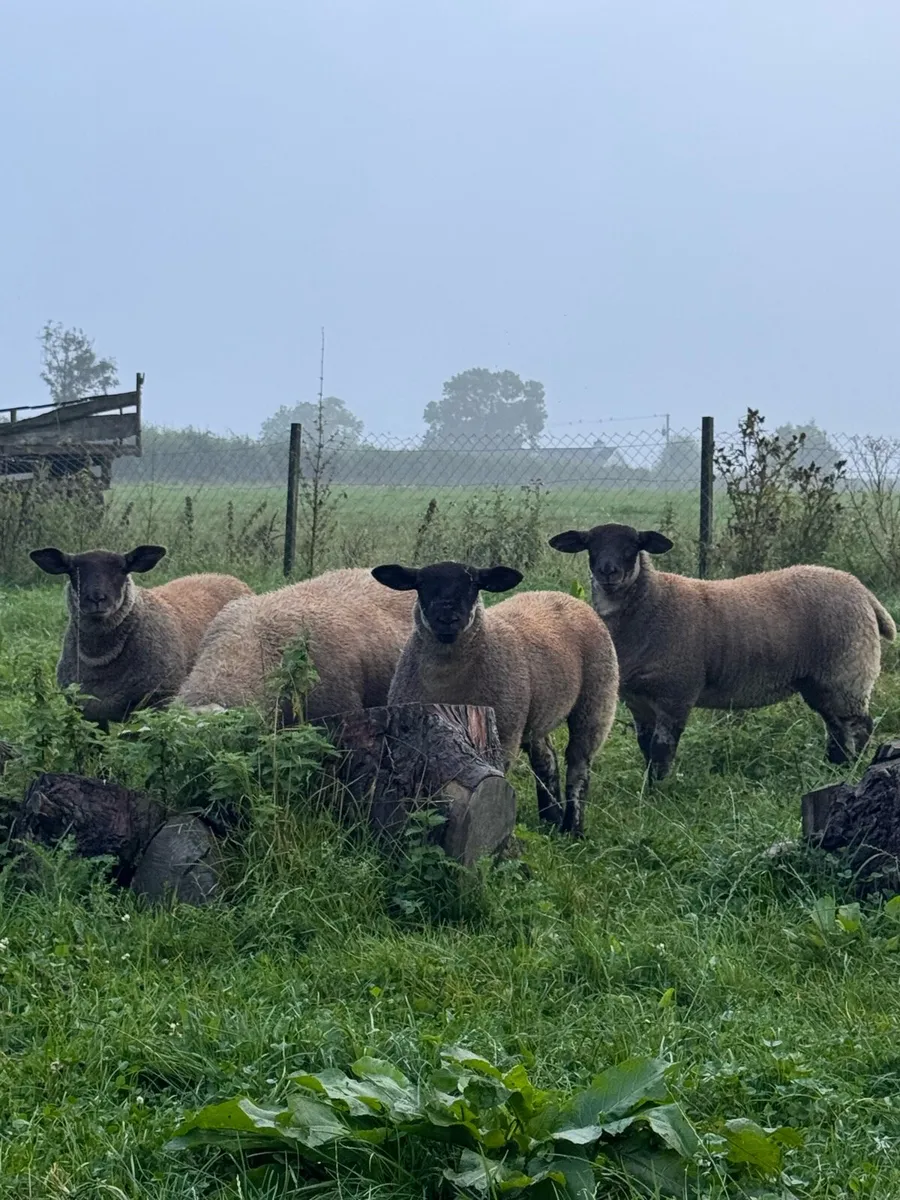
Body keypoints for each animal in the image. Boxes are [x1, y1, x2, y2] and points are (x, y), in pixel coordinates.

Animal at [30, 544, 253, 726]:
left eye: (122, 570)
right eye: (73, 571)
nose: (96, 599)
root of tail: (222, 575)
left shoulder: (155, 702)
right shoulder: (87, 712)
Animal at [371, 560, 620, 837]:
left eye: (473, 585)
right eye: (421, 584)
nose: (447, 618)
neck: (446, 681)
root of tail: (566, 597)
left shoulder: (505, 735)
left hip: (597, 699)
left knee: (579, 765)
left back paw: (572, 828)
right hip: (536, 713)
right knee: (546, 758)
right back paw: (550, 817)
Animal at [549, 522, 897, 780]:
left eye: (633, 546)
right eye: (590, 545)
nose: (608, 572)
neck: (651, 602)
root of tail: (863, 591)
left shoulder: (676, 693)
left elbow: (662, 749)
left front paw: (657, 792)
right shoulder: (639, 701)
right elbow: (645, 747)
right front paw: (648, 787)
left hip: (848, 672)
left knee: (859, 726)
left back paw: (849, 769)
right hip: (821, 681)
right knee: (836, 726)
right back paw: (833, 767)